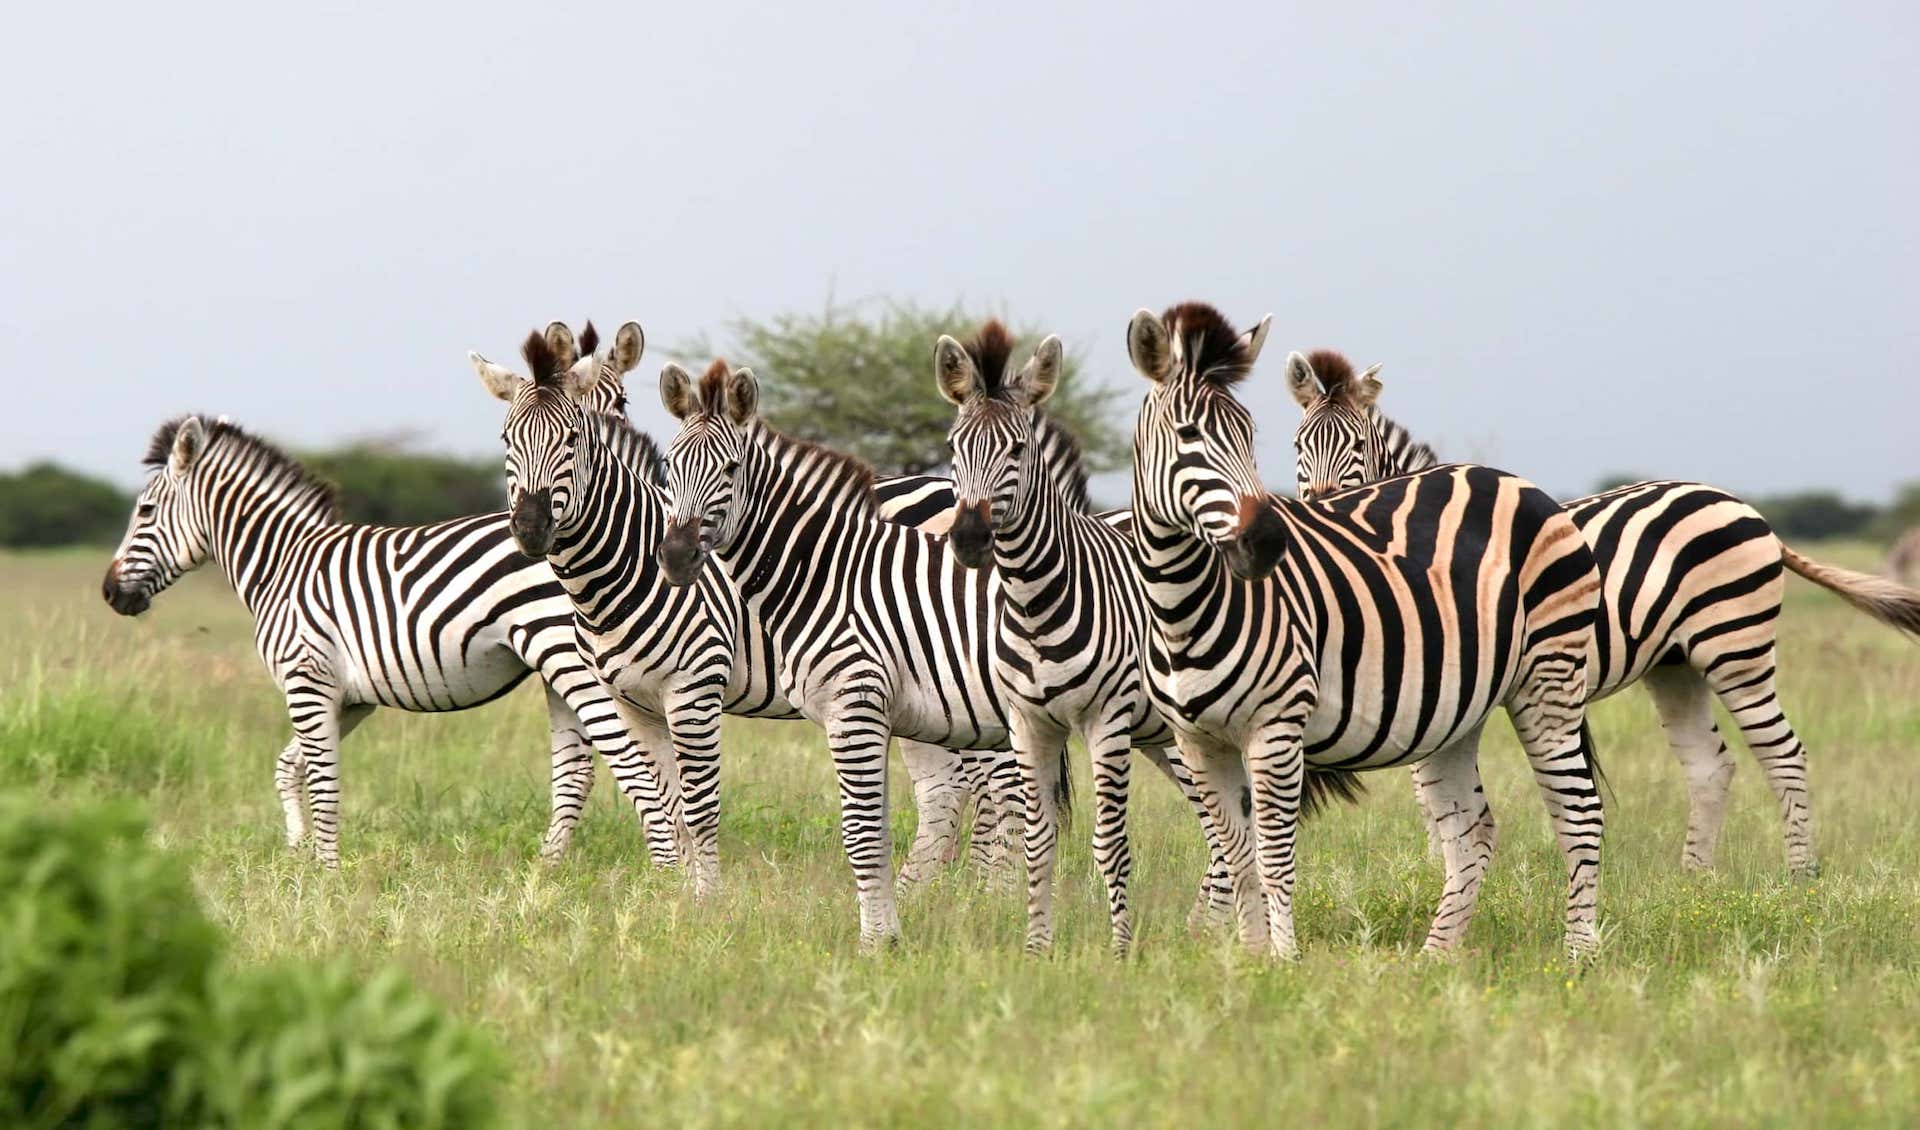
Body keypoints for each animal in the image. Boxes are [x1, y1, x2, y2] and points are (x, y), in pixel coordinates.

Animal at [100, 414, 676, 869]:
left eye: (144, 512)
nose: (109, 593)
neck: (281, 565)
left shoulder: (306, 681)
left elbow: (324, 784)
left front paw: (326, 876)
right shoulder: (350, 698)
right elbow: (291, 769)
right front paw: (297, 849)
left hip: (573, 663)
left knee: (635, 766)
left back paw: (661, 876)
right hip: (558, 668)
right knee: (577, 773)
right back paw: (547, 871)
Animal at [469, 321, 1006, 898]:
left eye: (573, 438)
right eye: (507, 440)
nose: (530, 528)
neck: (626, 559)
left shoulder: (695, 686)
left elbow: (699, 807)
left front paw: (708, 902)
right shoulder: (632, 697)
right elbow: (668, 804)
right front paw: (676, 897)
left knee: (994, 784)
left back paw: (986, 893)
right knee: (952, 790)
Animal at [935, 319, 1230, 954]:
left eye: (1017, 450)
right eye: (952, 448)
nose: (968, 540)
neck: (1036, 600)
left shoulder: (1106, 721)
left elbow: (1110, 845)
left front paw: (1120, 951)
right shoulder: (1028, 722)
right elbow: (1036, 840)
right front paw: (1036, 949)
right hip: (1166, 739)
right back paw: (1206, 933)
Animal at [1125, 301, 1609, 960]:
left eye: (1250, 433)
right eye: (1187, 435)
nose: (1266, 543)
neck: (1183, 605)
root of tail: (1522, 484)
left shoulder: (1277, 730)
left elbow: (1273, 860)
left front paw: (1283, 963)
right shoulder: (1198, 741)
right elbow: (1238, 859)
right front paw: (1246, 963)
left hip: (1550, 678)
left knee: (1579, 815)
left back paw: (1577, 960)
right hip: (1457, 712)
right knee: (1472, 829)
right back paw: (1434, 960)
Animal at [1287, 348, 1920, 875]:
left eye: (1357, 447)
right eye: (1299, 447)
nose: (1322, 502)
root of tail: (1739, 504)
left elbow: (1429, 789)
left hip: (1734, 645)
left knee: (1784, 754)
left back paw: (1798, 879)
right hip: (1675, 665)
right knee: (1711, 765)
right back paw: (1695, 883)